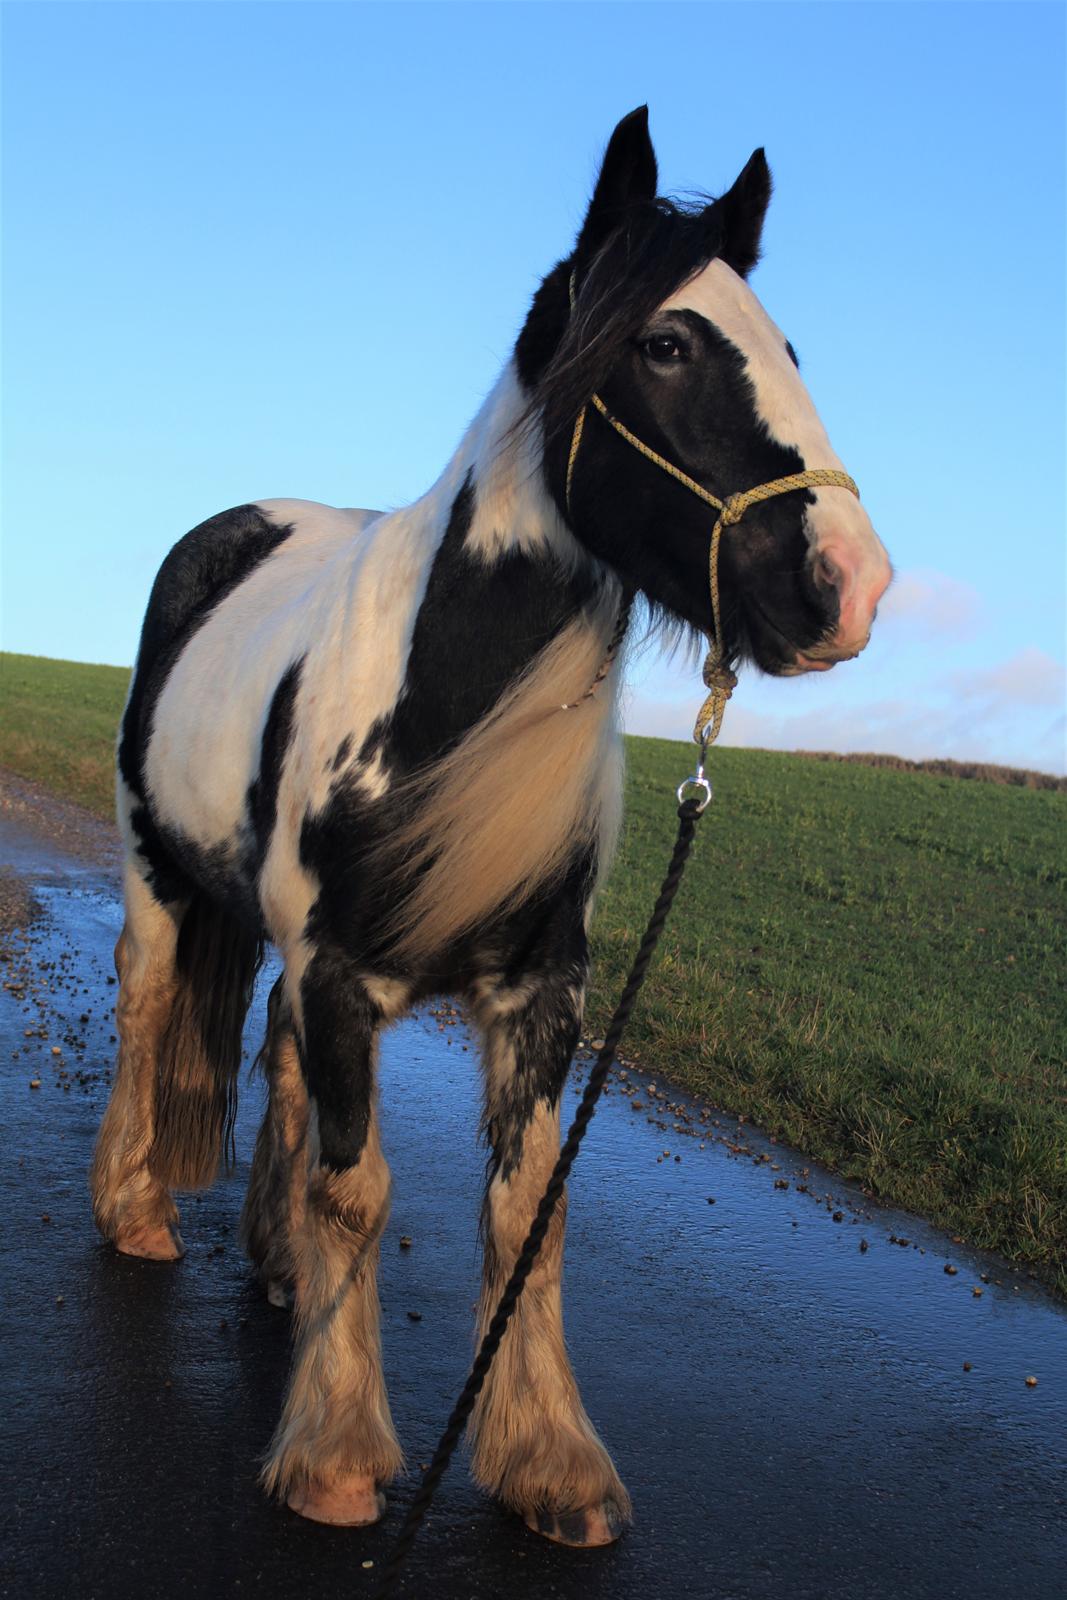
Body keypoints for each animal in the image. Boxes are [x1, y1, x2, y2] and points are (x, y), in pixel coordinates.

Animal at [91, 109, 895, 1536]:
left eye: (791, 349)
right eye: (666, 343)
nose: (847, 584)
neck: (443, 691)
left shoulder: (538, 993)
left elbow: (526, 1209)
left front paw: (546, 1461)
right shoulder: (341, 977)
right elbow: (358, 1189)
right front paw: (337, 1454)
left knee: (277, 1069)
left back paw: (277, 1269)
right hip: (153, 867)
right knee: (149, 1007)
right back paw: (132, 1209)